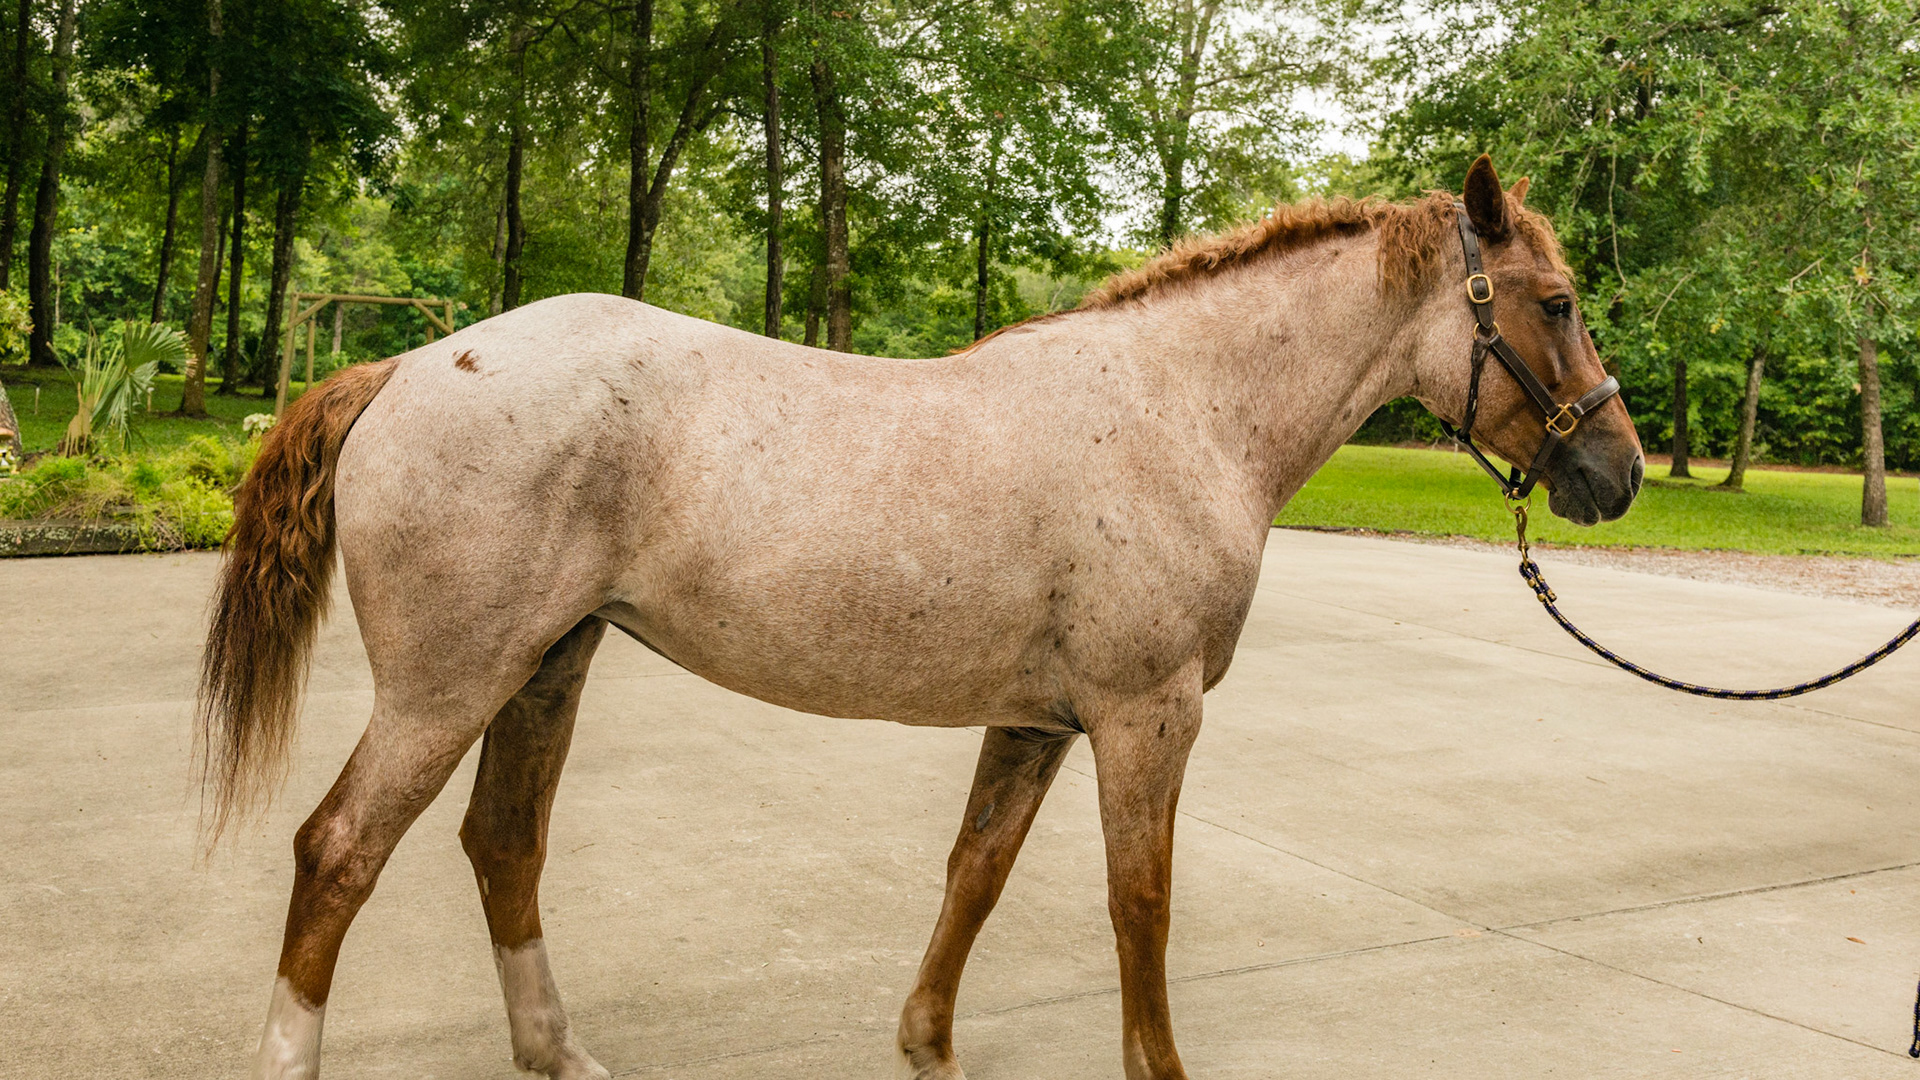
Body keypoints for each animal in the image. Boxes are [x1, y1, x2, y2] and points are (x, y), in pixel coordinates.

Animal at [202, 155, 1643, 1080]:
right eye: (1558, 303)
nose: (1616, 472)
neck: (1183, 406)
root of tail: (406, 364)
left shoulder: (1039, 723)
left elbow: (976, 875)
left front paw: (927, 1044)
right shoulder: (1146, 716)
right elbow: (1141, 905)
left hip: (548, 665)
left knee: (503, 845)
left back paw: (560, 1053)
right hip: (447, 687)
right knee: (338, 856)